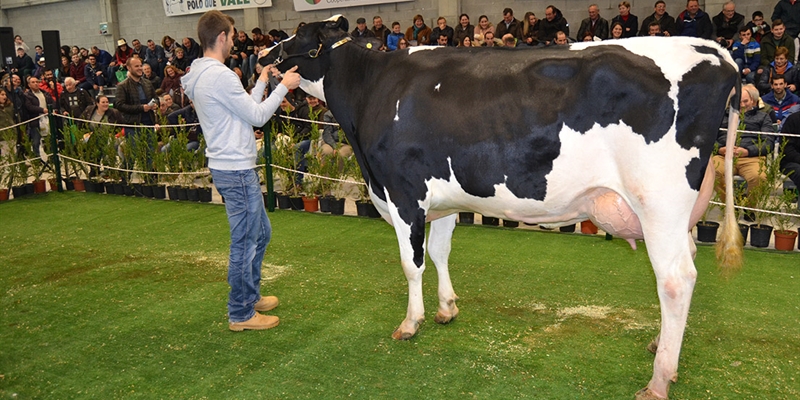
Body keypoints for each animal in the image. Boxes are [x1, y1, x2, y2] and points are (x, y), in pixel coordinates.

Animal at [262, 16, 744, 400]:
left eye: (297, 36)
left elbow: (411, 263)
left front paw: (411, 322)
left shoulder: (403, 194)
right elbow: (440, 252)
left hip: (658, 202)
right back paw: (660, 346)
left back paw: (659, 379)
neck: (371, 91)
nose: (263, 56)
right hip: (679, 213)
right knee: (684, 267)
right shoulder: (443, 199)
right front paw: (447, 308)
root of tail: (715, 52)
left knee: (676, 280)